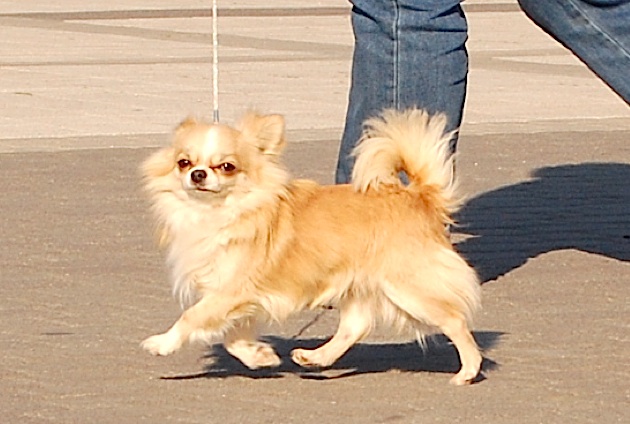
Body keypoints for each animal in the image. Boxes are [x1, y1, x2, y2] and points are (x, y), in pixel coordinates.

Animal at [141, 109, 482, 385]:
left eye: (226, 167)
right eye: (183, 163)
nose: (197, 174)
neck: (216, 214)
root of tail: (420, 196)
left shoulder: (230, 291)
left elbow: (191, 317)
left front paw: (162, 343)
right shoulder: (240, 299)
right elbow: (232, 339)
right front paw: (260, 356)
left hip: (407, 287)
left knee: (454, 320)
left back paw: (468, 371)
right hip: (359, 286)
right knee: (355, 327)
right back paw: (315, 357)